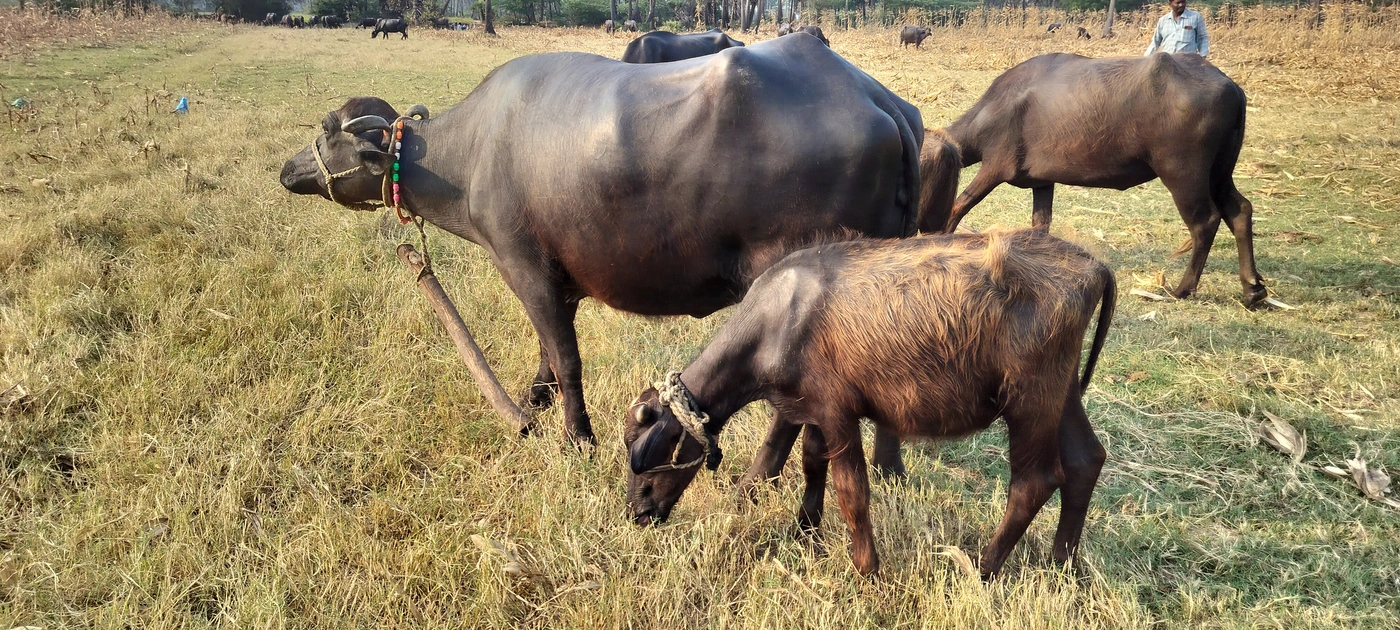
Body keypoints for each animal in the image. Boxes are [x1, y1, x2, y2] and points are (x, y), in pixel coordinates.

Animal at [279, 36, 923, 464]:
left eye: (328, 129)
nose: (288, 170)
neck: (470, 154)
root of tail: (877, 101)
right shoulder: (557, 282)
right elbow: (547, 351)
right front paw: (535, 405)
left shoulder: (524, 265)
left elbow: (566, 357)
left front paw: (577, 436)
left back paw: (757, 480)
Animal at [623, 229, 1115, 578]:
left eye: (649, 455)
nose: (639, 513)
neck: (781, 319)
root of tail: (1093, 266)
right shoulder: (811, 410)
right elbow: (812, 463)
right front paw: (805, 529)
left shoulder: (838, 412)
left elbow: (852, 490)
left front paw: (867, 569)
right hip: (1062, 393)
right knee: (1085, 459)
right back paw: (1062, 565)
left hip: (1030, 401)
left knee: (1034, 481)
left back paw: (983, 568)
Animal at [919, 53, 1266, 305]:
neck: (996, 109)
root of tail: (1231, 86)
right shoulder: (1042, 182)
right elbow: (1040, 224)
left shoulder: (995, 167)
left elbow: (958, 207)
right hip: (1220, 172)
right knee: (1240, 210)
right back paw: (1252, 288)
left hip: (1183, 174)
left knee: (1205, 221)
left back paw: (1183, 288)